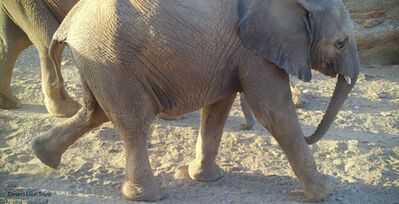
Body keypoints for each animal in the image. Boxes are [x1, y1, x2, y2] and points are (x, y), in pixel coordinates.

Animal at [32, 0, 360, 202]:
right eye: (340, 43)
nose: (311, 135)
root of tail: (68, 23)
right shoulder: (254, 50)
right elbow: (274, 111)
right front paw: (324, 192)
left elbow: (218, 106)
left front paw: (206, 178)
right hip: (111, 59)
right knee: (134, 121)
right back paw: (148, 196)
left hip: (100, 63)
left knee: (95, 112)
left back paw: (43, 155)